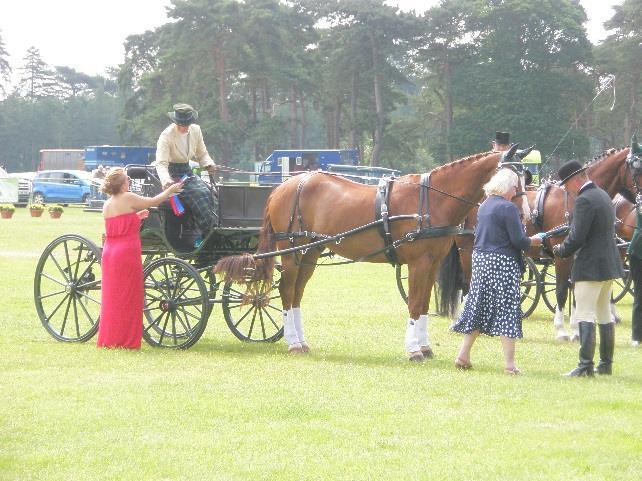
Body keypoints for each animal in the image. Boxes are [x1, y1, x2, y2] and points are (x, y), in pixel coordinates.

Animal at [212, 148, 528, 358]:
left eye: (526, 176)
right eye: (514, 178)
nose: (524, 215)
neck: (431, 200)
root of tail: (284, 186)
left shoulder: (432, 264)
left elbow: (424, 304)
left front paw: (425, 347)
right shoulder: (418, 264)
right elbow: (415, 304)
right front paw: (414, 350)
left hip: (309, 252)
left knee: (296, 294)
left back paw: (301, 341)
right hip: (290, 251)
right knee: (287, 291)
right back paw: (292, 342)